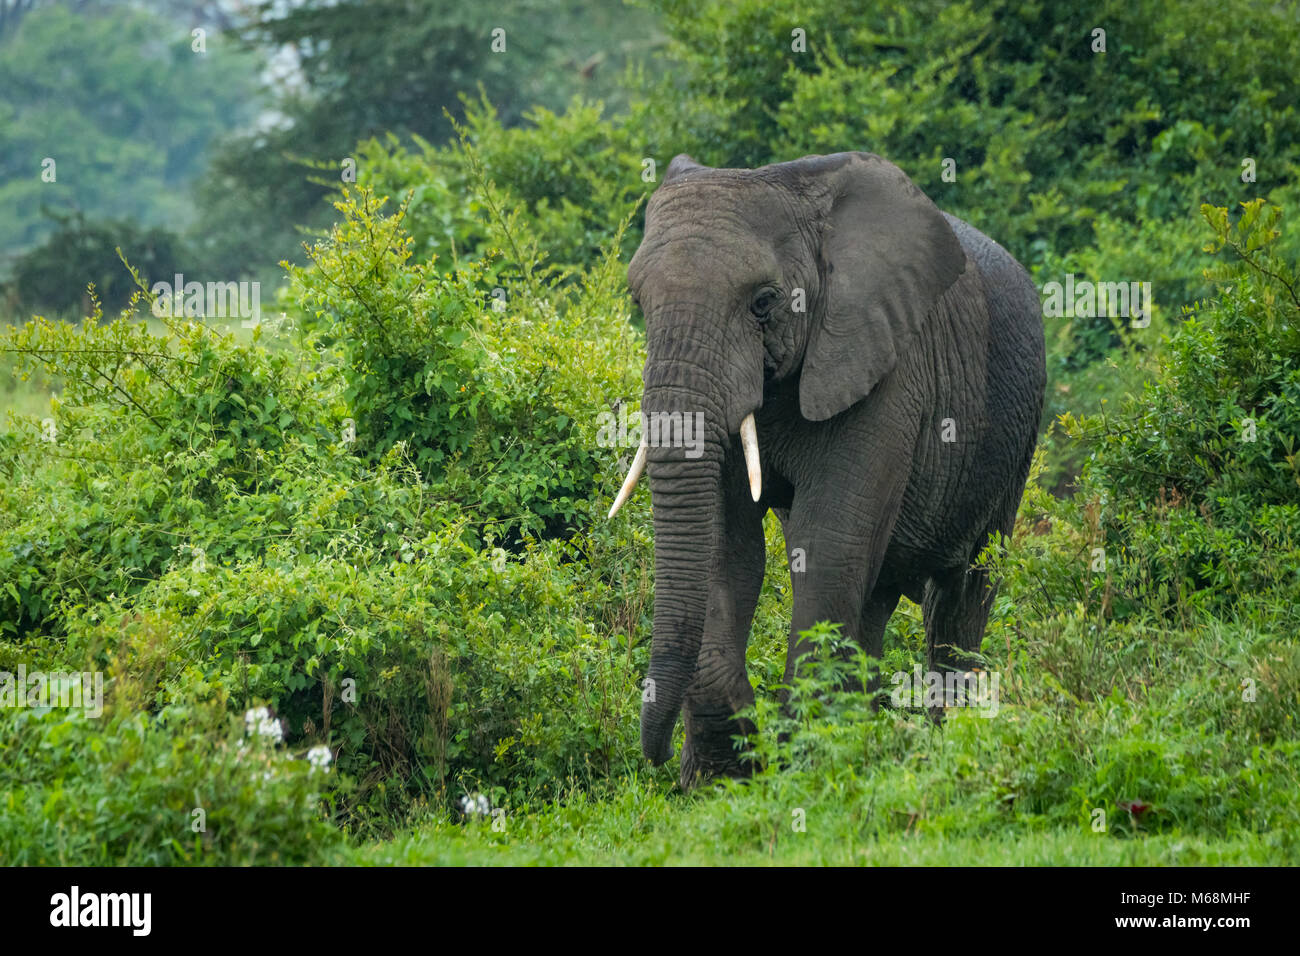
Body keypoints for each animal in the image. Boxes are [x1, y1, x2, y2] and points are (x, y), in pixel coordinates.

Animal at [607, 151, 1046, 789]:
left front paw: (799, 762)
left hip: (1015, 436)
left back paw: (946, 742)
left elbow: (828, 542)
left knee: (962, 593)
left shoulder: (886, 364)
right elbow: (728, 549)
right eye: (639, 304)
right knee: (877, 595)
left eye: (764, 302)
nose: (656, 757)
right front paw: (726, 771)